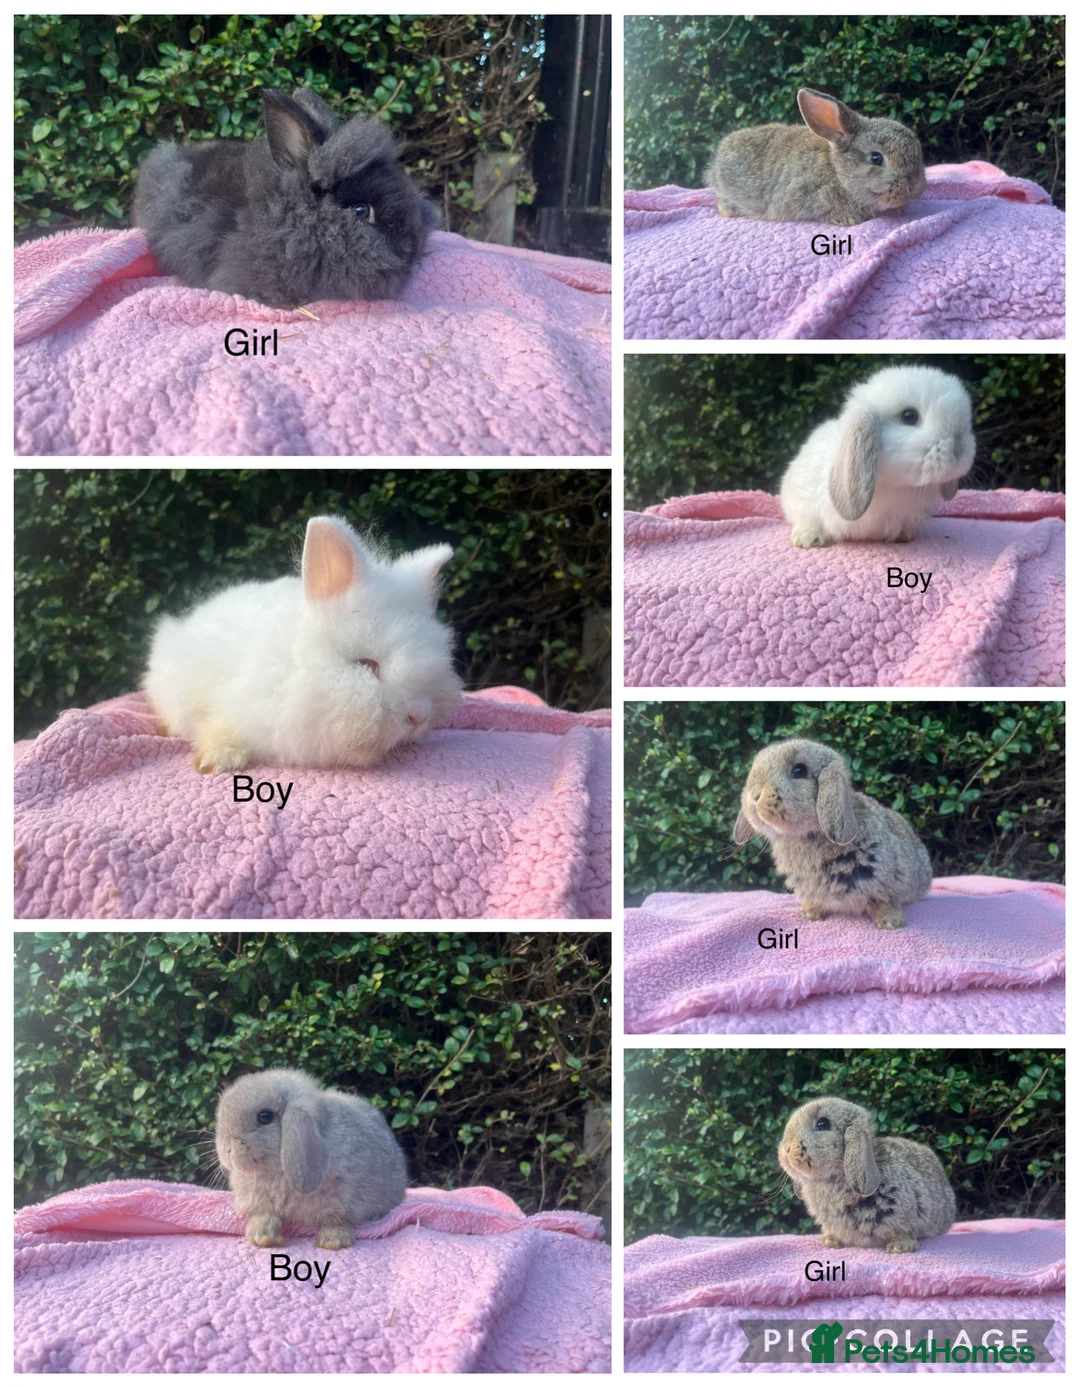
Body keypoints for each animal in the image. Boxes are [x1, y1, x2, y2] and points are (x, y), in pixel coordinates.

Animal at [215, 1068, 407, 1249]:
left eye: (265, 1117)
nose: (227, 1149)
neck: (278, 1172)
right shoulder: (261, 1204)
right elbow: (263, 1216)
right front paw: (261, 1237)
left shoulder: (343, 1200)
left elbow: (336, 1221)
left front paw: (334, 1242)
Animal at [733, 738, 932, 930]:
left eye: (799, 771)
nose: (754, 796)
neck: (806, 835)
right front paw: (811, 914)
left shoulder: (885, 881)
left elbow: (885, 902)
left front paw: (890, 923)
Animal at [778, 1097, 956, 1253]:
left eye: (822, 1124)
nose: (786, 1149)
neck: (836, 1176)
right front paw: (831, 1241)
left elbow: (904, 1231)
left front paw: (899, 1248)